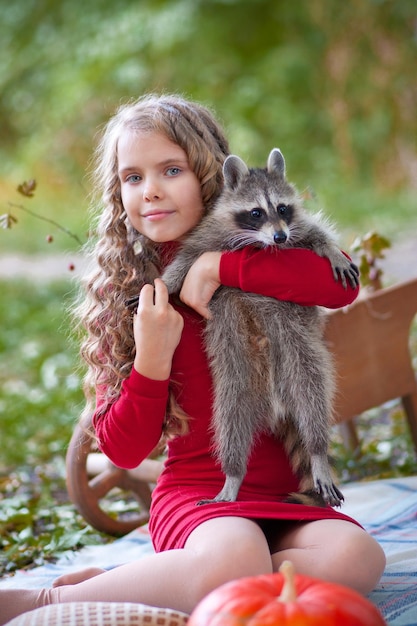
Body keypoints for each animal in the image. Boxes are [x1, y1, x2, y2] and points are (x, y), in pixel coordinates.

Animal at [162, 150, 358, 508]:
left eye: (281, 208)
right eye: (256, 212)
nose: (280, 237)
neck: (261, 243)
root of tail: (275, 399)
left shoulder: (296, 226)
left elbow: (316, 233)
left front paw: (331, 251)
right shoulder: (207, 235)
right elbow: (185, 260)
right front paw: (164, 284)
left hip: (299, 354)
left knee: (312, 397)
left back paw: (317, 451)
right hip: (235, 373)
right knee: (231, 419)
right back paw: (233, 473)